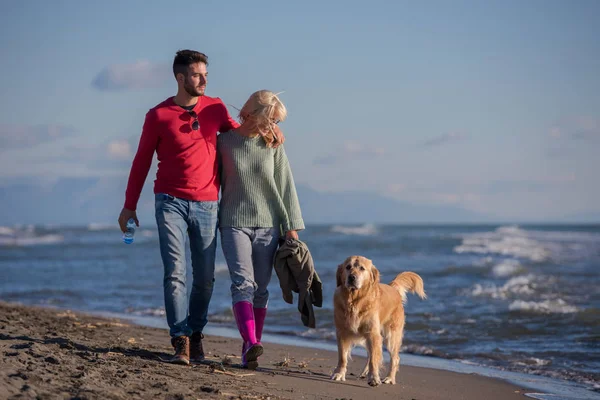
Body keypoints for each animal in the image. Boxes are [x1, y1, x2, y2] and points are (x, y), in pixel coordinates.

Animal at [330, 255, 424, 386]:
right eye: (348, 267)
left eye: (362, 268)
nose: (352, 277)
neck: (355, 300)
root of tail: (393, 288)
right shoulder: (342, 332)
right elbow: (343, 357)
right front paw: (339, 374)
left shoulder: (373, 334)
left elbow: (374, 359)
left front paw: (374, 378)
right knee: (370, 355)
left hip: (391, 336)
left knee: (395, 358)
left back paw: (389, 378)